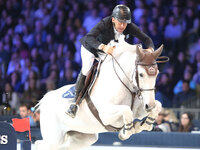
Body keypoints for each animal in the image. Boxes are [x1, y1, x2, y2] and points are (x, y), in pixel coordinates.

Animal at [35, 35, 165, 150]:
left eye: (157, 74)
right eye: (141, 74)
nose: (149, 105)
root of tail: (45, 99)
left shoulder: (139, 110)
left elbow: (158, 106)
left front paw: (144, 124)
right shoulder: (106, 114)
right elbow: (126, 111)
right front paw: (126, 132)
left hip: (84, 137)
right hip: (54, 139)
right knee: (41, 144)